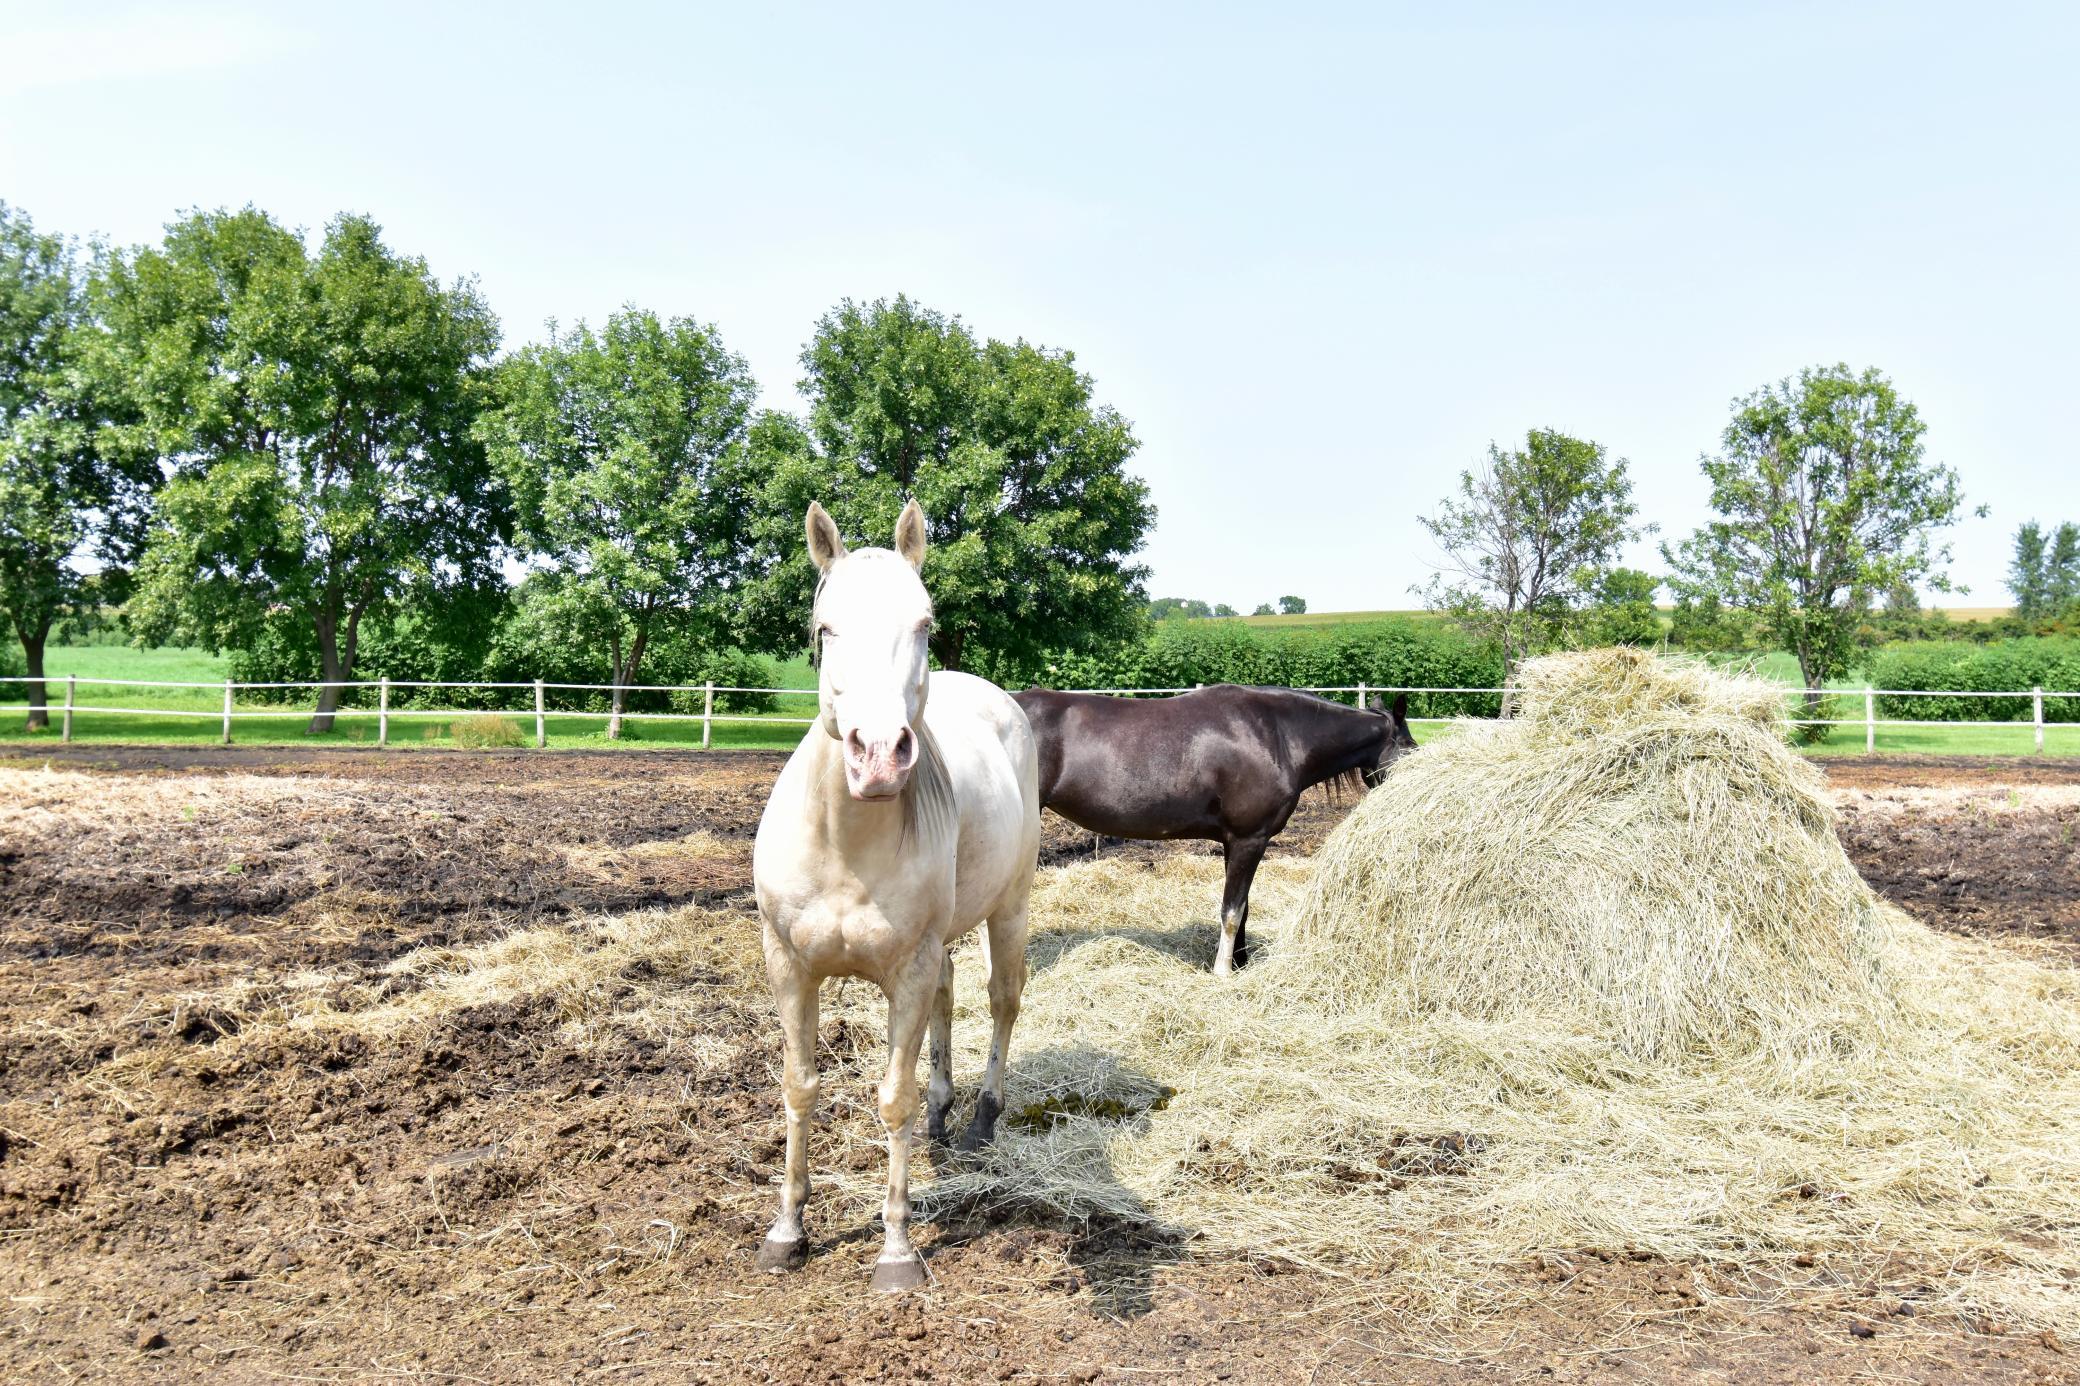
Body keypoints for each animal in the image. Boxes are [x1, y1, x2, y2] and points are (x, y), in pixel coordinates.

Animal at [751, 499, 1042, 1293]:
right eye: (824, 629)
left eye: (925, 623)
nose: (879, 755)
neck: (845, 845)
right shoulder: (789, 967)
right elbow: (800, 1086)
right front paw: (788, 1230)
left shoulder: (904, 971)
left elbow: (893, 1098)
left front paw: (897, 1248)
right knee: (950, 991)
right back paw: (944, 1114)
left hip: (1010, 907)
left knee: (1001, 1000)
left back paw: (979, 1119)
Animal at [1013, 684, 1415, 975]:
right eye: (1409, 748)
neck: (1280, 735)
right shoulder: (1250, 840)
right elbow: (1232, 911)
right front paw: (1223, 972)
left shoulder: (1235, 843)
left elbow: (1243, 907)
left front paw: (1240, 963)